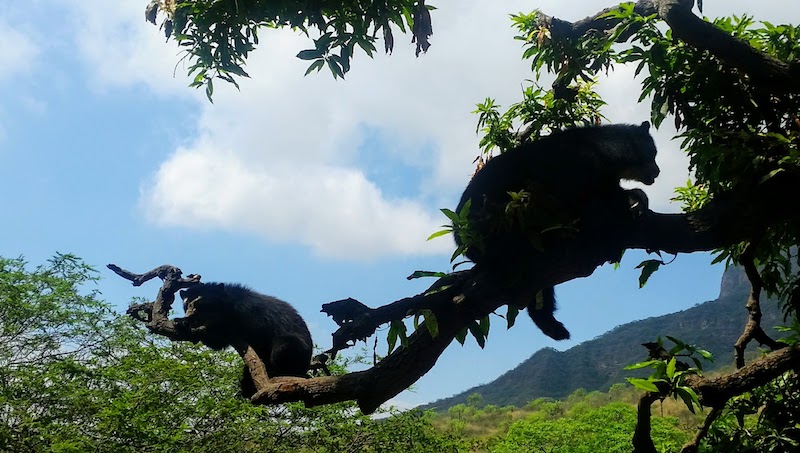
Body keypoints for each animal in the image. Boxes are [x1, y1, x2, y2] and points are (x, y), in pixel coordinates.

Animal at [177, 282, 312, 396]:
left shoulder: (249, 314)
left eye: (202, 304)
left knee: (283, 346)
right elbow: (217, 343)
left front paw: (183, 322)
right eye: (186, 305)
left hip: (295, 349)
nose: (188, 314)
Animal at [454, 120, 660, 340]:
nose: (657, 172)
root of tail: (460, 241)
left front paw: (637, 200)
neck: (604, 154)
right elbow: (590, 203)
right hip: (503, 221)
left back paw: (552, 325)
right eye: (652, 154)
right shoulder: (576, 172)